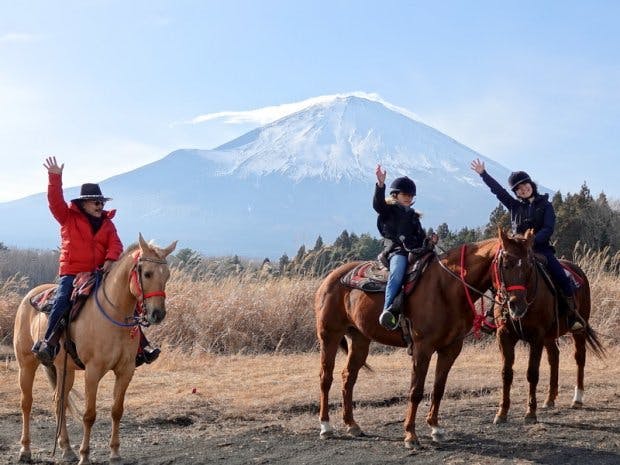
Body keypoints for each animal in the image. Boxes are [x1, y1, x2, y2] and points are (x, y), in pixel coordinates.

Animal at [13, 234, 177, 462]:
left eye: (167, 275)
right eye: (147, 273)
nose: (158, 314)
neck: (113, 315)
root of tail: (30, 296)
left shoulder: (126, 371)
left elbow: (117, 410)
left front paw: (115, 453)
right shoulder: (93, 371)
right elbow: (89, 414)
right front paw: (85, 455)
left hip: (64, 369)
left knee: (59, 402)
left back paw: (66, 449)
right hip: (26, 364)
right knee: (27, 403)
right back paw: (25, 450)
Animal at [314, 237, 498, 448]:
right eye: (508, 262)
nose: (516, 305)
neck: (446, 287)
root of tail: (331, 277)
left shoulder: (450, 349)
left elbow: (439, 388)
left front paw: (436, 428)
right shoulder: (422, 349)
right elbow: (416, 390)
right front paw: (411, 435)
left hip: (360, 340)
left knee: (348, 377)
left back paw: (352, 425)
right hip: (329, 335)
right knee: (326, 377)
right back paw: (325, 426)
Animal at [492, 228, 604, 424]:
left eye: (529, 265)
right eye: (505, 265)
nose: (517, 305)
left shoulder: (536, 337)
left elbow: (532, 373)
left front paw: (530, 413)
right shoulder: (504, 335)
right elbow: (506, 373)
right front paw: (502, 413)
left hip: (579, 330)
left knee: (580, 358)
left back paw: (577, 399)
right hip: (550, 336)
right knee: (554, 357)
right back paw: (550, 398)